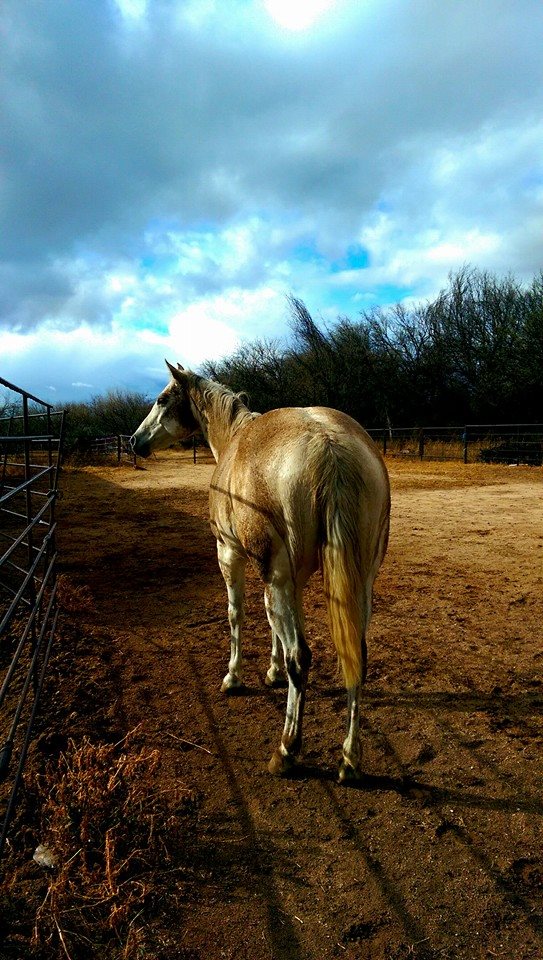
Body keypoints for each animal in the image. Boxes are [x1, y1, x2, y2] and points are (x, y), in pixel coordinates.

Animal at [131, 361, 390, 781]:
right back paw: (350, 759)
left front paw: (233, 677)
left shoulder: (230, 556)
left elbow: (237, 615)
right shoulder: (291, 578)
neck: (234, 439)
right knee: (356, 656)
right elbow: (275, 626)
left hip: (275, 574)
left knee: (301, 656)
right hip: (359, 582)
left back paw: (286, 750)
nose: (135, 441)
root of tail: (328, 444)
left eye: (162, 399)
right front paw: (272, 672)